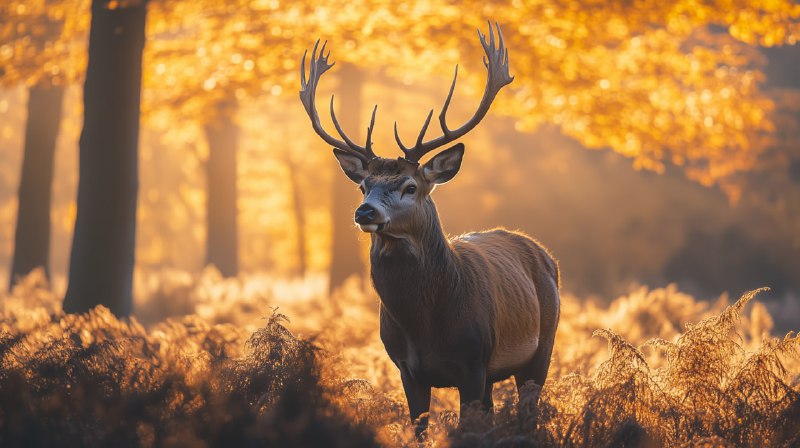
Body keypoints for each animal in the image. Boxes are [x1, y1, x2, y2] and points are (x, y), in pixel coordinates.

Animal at [299, 23, 560, 438]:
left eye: (410, 186)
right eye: (363, 185)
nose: (364, 211)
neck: (425, 326)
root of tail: (543, 253)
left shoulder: (474, 360)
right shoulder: (407, 369)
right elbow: (420, 428)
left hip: (543, 347)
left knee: (528, 414)